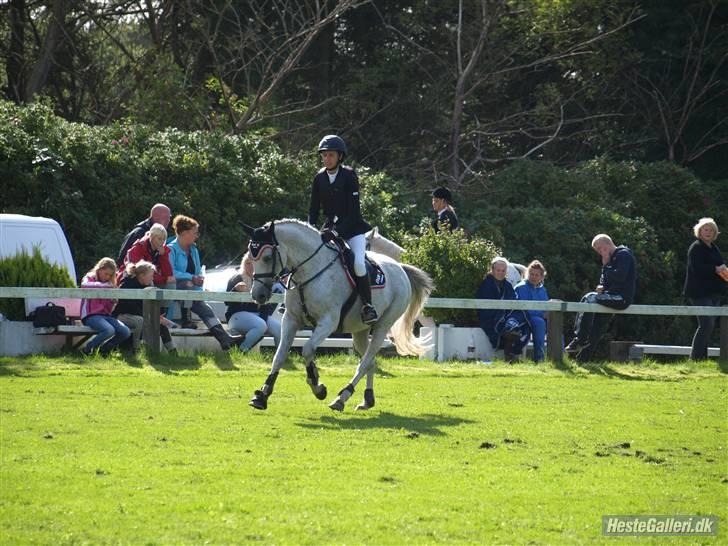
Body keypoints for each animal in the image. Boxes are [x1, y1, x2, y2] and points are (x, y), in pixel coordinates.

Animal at [243, 219, 432, 410]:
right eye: (251, 258)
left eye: (267, 258)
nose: (257, 295)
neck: (310, 270)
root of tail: (400, 268)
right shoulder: (290, 319)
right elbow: (279, 356)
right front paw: (262, 395)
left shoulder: (328, 322)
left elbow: (307, 349)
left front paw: (317, 386)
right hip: (360, 331)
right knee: (370, 361)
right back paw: (367, 399)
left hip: (383, 325)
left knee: (365, 362)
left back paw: (342, 397)